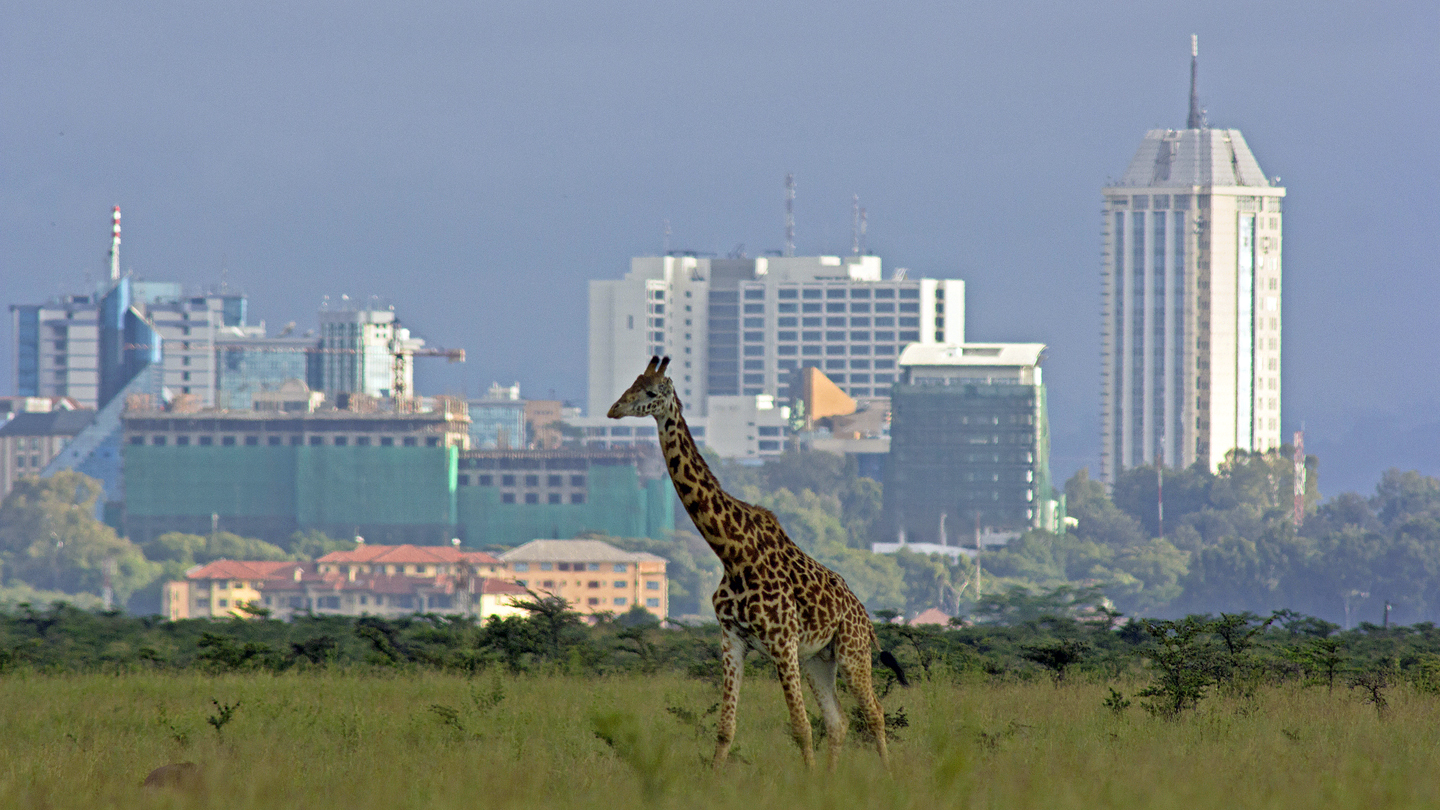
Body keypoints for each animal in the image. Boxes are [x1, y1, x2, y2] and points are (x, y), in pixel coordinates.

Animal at [608, 356, 908, 771]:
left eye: (651, 391)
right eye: (631, 384)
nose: (613, 410)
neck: (732, 553)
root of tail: (865, 617)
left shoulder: (782, 643)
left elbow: (800, 727)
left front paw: (808, 779)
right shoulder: (732, 639)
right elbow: (726, 729)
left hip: (852, 652)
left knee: (874, 713)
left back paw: (889, 776)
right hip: (818, 660)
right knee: (839, 721)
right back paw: (832, 779)